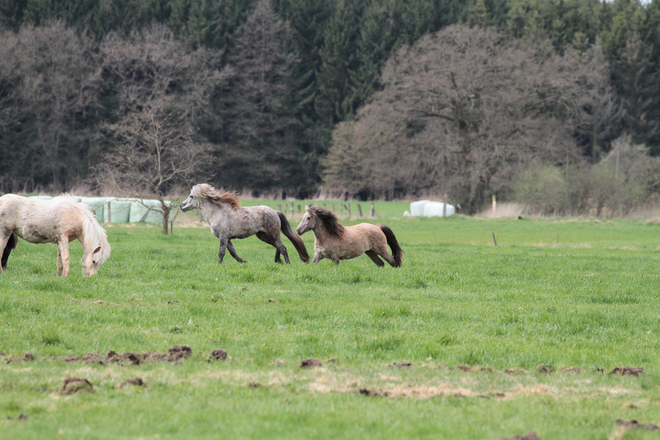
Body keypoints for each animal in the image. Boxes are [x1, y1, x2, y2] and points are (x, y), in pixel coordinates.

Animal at [177, 183, 308, 264]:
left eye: (191, 196)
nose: (181, 206)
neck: (218, 213)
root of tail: (275, 211)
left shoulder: (223, 236)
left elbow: (221, 252)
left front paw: (219, 265)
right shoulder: (227, 238)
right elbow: (232, 252)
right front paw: (244, 261)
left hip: (272, 234)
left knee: (282, 247)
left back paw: (287, 263)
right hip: (263, 235)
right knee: (278, 246)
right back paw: (278, 261)